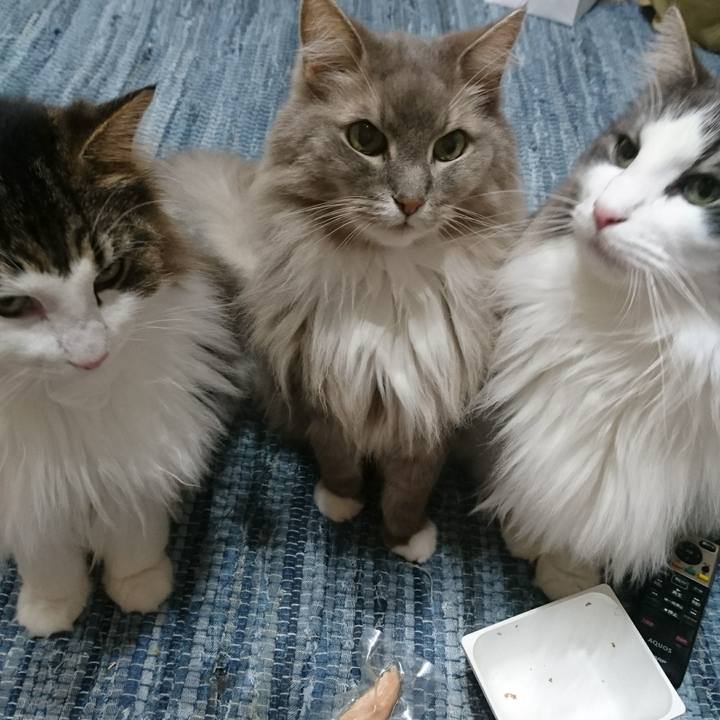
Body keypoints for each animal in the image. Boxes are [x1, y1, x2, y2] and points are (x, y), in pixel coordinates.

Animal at [0, 88, 249, 636]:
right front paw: (49, 609)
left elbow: (136, 531)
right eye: (11, 304)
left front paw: (139, 587)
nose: (91, 354)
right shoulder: (24, 490)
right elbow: (45, 555)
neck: (74, 406)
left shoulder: (143, 450)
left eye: (109, 274)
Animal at [162, 0, 526, 562]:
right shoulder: (322, 387)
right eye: (366, 139)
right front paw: (341, 502)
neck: (393, 281)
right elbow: (337, 458)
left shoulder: (432, 406)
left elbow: (409, 488)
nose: (410, 202)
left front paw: (405, 538)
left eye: (451, 147)